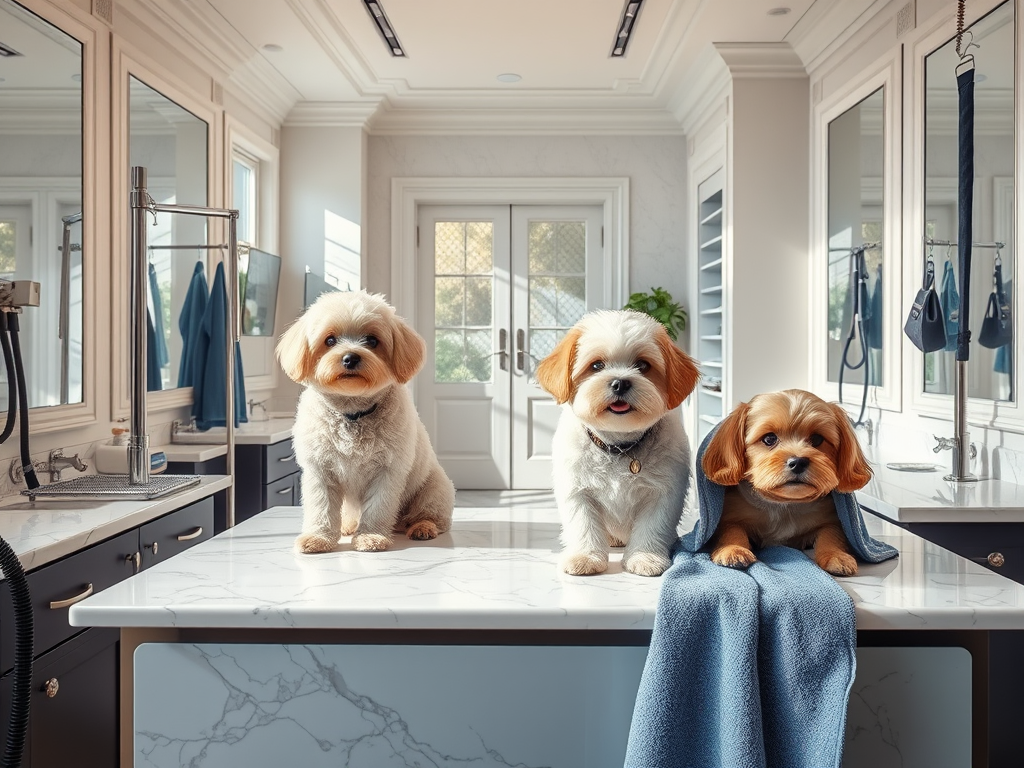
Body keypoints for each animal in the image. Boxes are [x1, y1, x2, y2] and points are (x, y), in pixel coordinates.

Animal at [280, 290, 456, 557]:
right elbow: (321, 508)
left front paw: (371, 536)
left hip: (434, 489)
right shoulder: (320, 471)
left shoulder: (387, 471)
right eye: (330, 340)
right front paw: (319, 537)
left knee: (429, 515)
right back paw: (348, 526)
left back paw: (422, 527)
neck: (353, 413)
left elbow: (377, 508)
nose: (350, 358)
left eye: (372, 341)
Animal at [700, 391, 868, 577]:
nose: (798, 462)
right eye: (769, 438)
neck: (784, 505)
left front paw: (836, 555)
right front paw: (733, 549)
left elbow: (832, 535)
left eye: (817, 439)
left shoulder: (832, 520)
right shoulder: (729, 517)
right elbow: (731, 530)